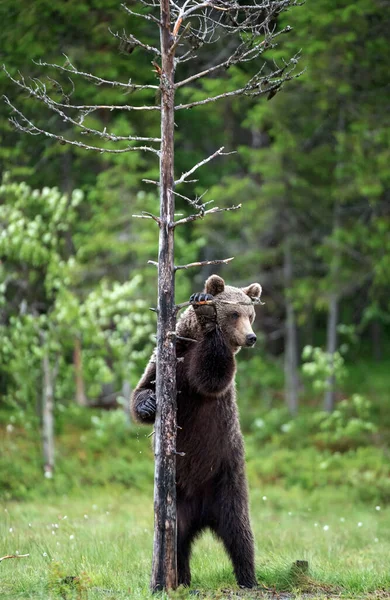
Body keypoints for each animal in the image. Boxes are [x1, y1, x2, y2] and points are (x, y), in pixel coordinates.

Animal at [131, 274, 262, 588]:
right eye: (235, 313)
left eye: (251, 314)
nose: (251, 337)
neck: (191, 342)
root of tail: (203, 514)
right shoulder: (165, 359)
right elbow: (142, 389)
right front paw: (149, 403)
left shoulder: (208, 380)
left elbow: (212, 375)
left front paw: (206, 310)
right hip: (176, 504)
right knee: (177, 541)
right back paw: (179, 579)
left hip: (227, 478)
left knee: (239, 532)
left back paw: (248, 578)